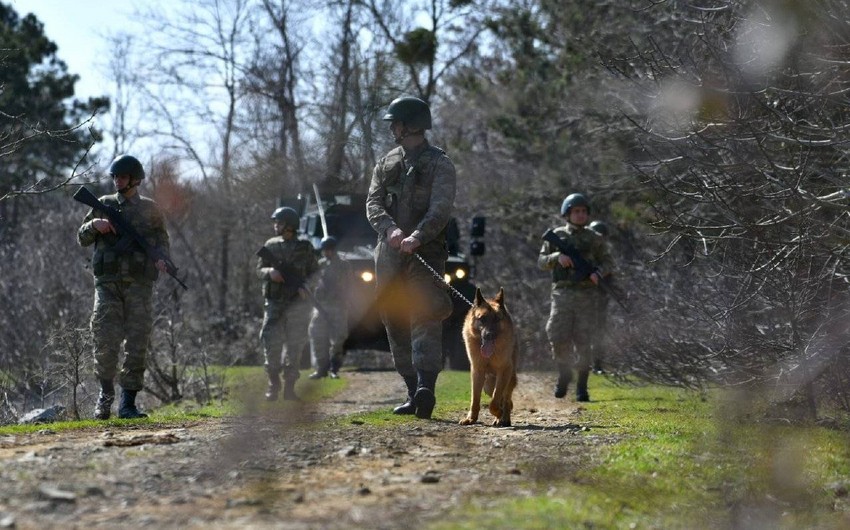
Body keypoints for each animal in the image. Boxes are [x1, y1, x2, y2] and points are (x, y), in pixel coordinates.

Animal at [458, 286, 516, 426]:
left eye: (497, 319)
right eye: (482, 318)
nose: (489, 335)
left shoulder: (504, 371)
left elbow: (495, 401)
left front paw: (499, 413)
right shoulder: (477, 371)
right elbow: (475, 399)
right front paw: (471, 419)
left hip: (508, 378)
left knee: (506, 399)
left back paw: (504, 418)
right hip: (488, 385)